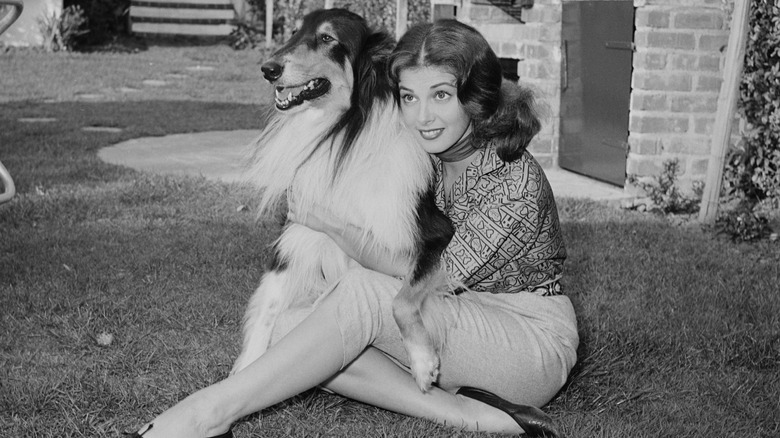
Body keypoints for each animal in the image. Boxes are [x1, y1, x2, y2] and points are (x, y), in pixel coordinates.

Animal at [232, 7, 450, 390]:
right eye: (294, 31)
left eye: (326, 38)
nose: (267, 69)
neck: (342, 133)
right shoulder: (296, 236)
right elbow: (267, 310)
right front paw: (245, 372)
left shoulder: (435, 234)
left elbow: (403, 296)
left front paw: (423, 361)